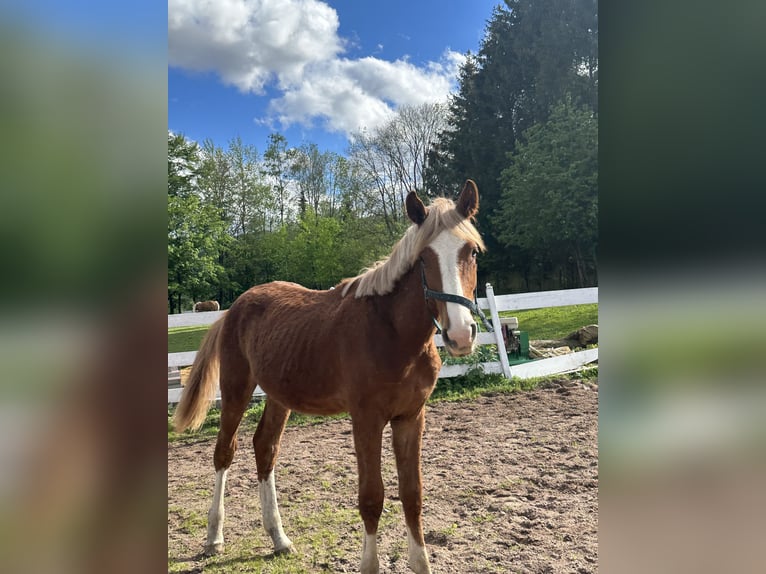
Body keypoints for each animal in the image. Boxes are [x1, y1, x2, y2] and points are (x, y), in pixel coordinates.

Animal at [174, 181, 486, 574]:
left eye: (471, 252)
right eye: (422, 259)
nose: (460, 335)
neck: (393, 334)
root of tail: (234, 309)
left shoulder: (411, 417)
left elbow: (412, 494)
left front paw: (420, 563)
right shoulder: (366, 419)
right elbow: (372, 497)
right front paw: (369, 565)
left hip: (279, 397)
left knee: (265, 448)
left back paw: (279, 538)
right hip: (236, 389)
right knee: (224, 452)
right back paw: (214, 537)